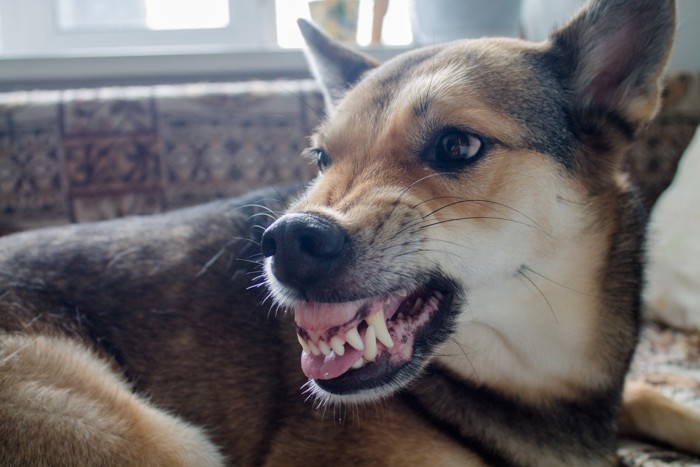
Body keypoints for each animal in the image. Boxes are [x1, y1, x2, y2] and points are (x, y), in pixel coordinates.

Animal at [1, 0, 700, 466]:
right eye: (320, 159)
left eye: (457, 144)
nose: (286, 242)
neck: (547, 376)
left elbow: (657, 395)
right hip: (150, 438)